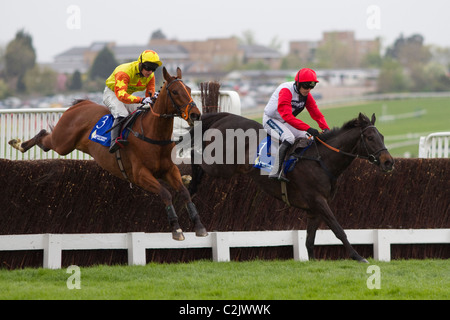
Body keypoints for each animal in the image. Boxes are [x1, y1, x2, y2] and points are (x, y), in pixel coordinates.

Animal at [9, 68, 207, 242]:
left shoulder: (169, 170)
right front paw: (176, 229)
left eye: (189, 90)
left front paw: (199, 226)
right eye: (175, 91)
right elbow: (165, 193)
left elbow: (184, 192)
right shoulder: (140, 175)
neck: (152, 134)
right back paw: (20, 144)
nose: (195, 115)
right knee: (44, 137)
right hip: (62, 143)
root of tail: (82, 104)